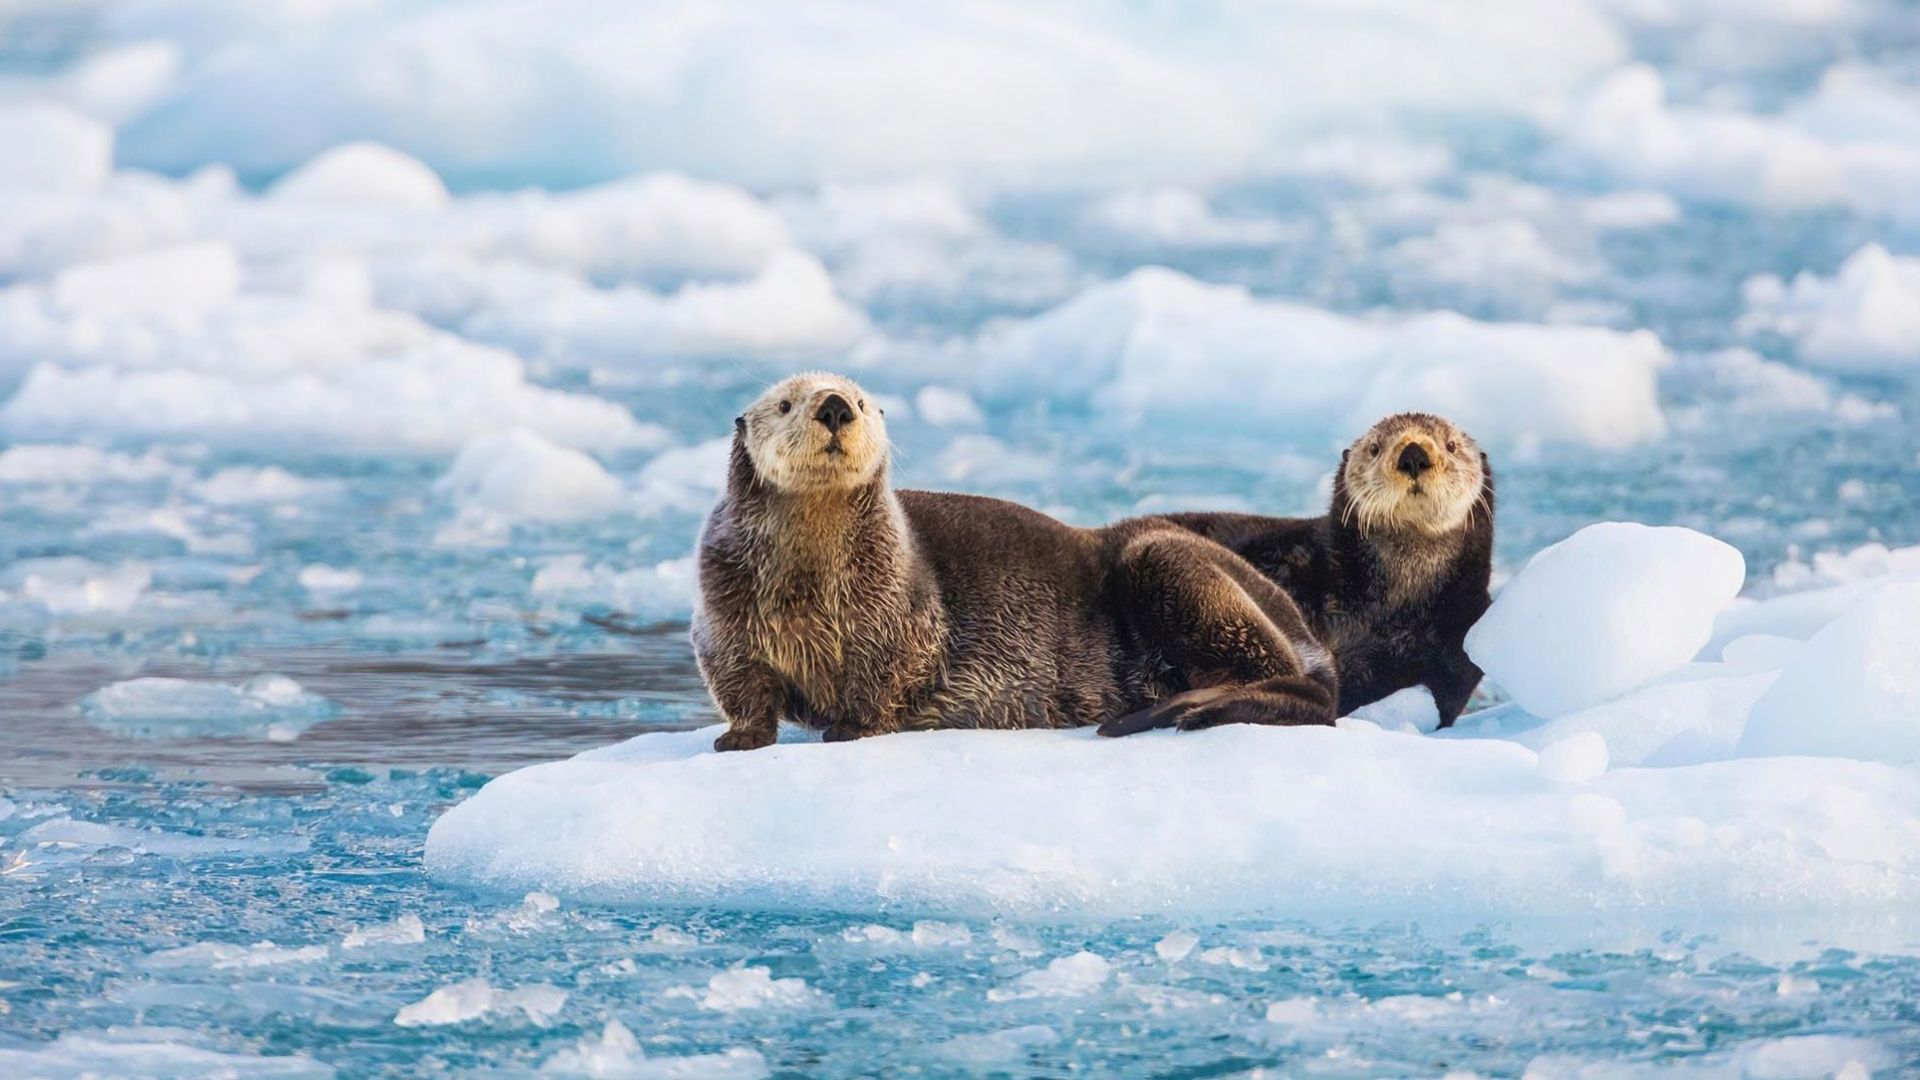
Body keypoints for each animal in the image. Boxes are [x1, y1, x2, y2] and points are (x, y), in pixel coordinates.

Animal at [692, 372, 1337, 751]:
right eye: (784, 404)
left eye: (861, 401)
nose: (832, 407)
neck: (810, 580)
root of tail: (1309, 638)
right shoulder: (723, 609)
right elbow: (737, 678)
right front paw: (741, 738)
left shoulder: (900, 603)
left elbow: (889, 669)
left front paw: (851, 727)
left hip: (1165, 559)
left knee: (1308, 695)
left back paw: (1172, 711)